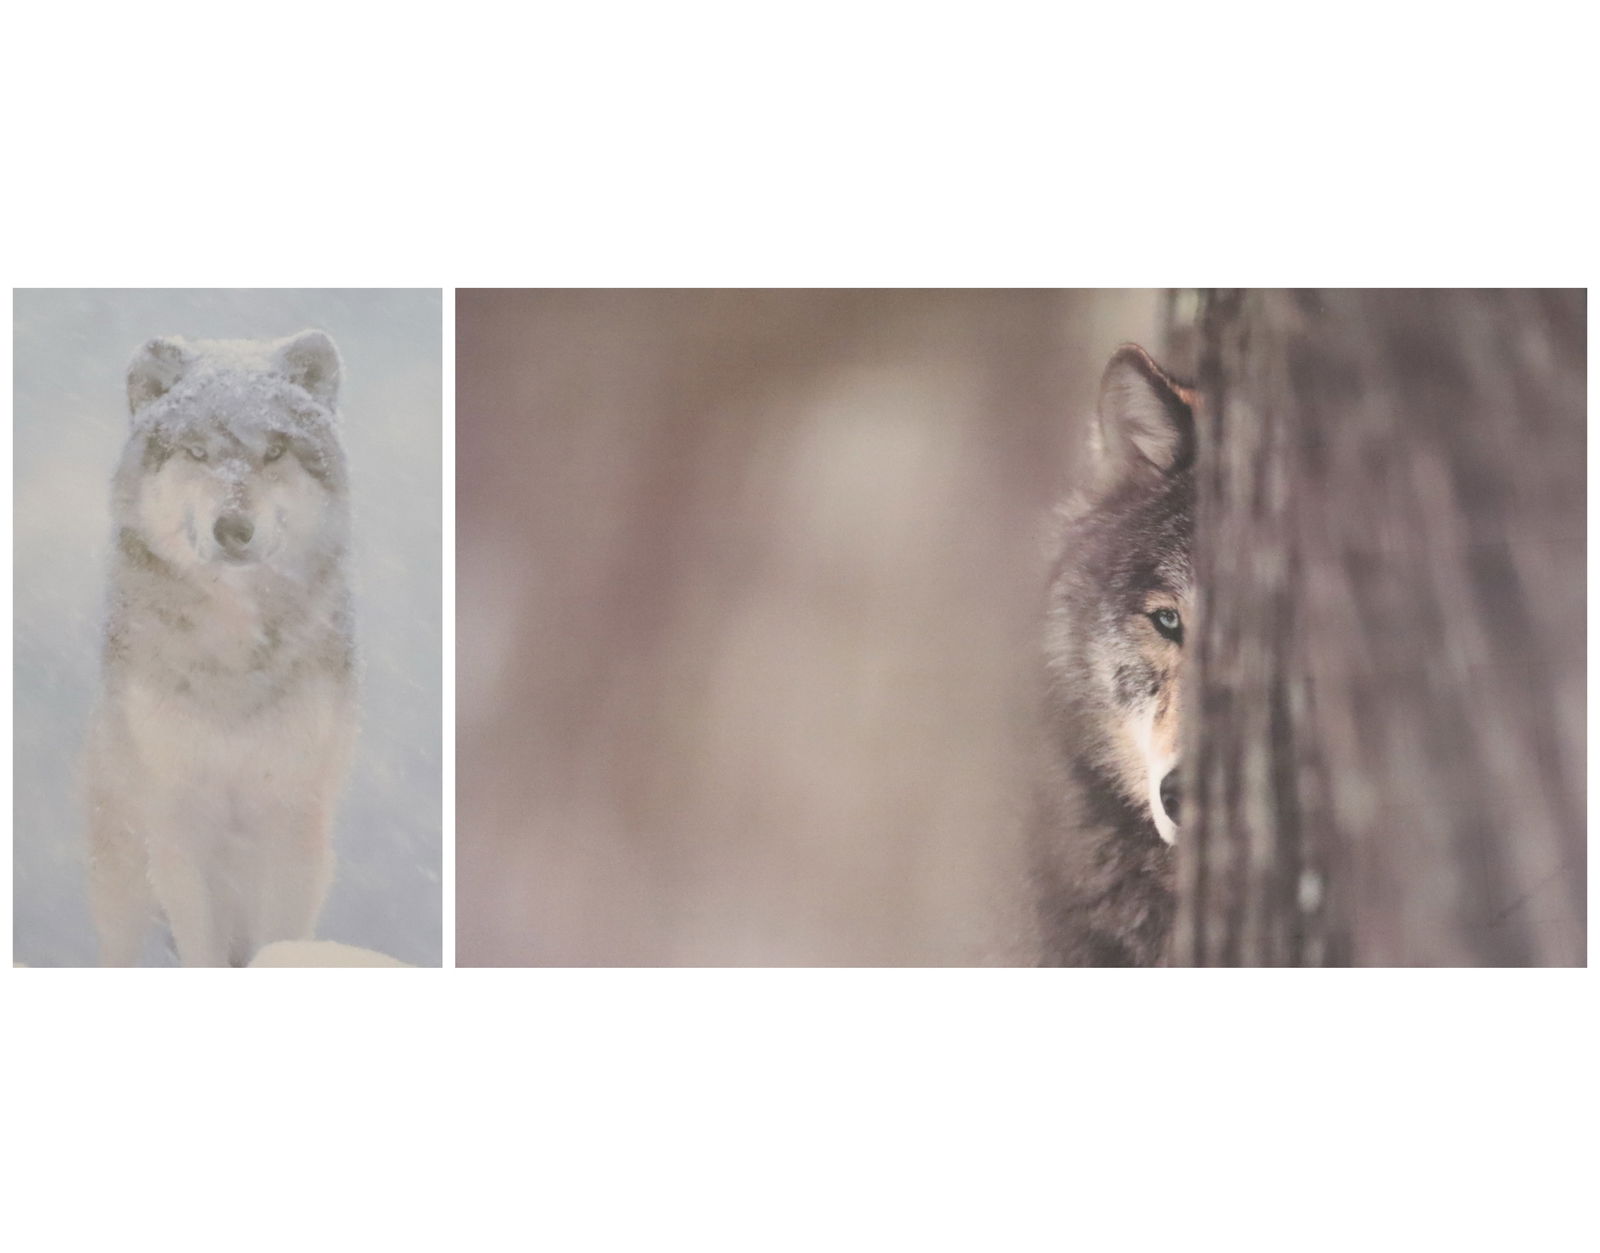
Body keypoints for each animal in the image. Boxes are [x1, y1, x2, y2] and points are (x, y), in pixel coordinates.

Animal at [84, 330, 358, 967]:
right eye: (197, 453)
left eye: (275, 452)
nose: (232, 529)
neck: (234, 656)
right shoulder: (180, 824)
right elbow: (200, 947)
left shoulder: (291, 819)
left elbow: (278, 939)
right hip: (123, 872)